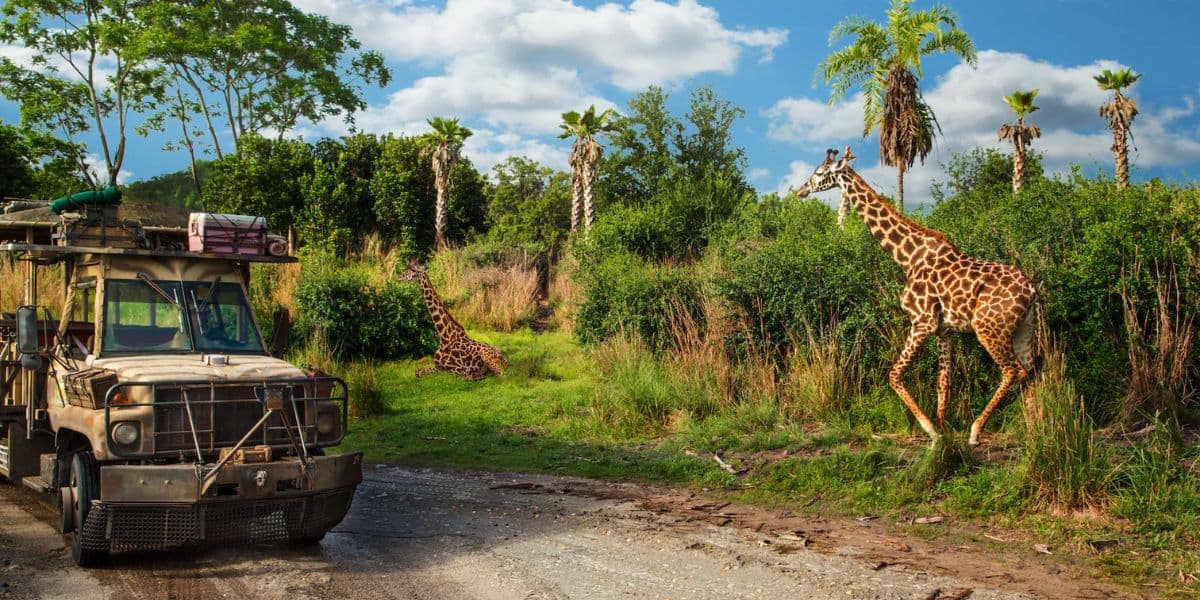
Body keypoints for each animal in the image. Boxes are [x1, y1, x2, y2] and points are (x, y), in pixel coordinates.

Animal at [793, 147, 1041, 446]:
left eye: (820, 172)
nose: (800, 190)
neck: (908, 258)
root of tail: (1032, 292)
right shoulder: (945, 330)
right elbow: (943, 382)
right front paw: (943, 436)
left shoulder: (922, 322)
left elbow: (894, 374)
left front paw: (931, 430)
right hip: (1024, 330)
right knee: (1031, 372)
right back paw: (1035, 434)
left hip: (989, 328)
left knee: (1013, 371)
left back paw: (977, 430)